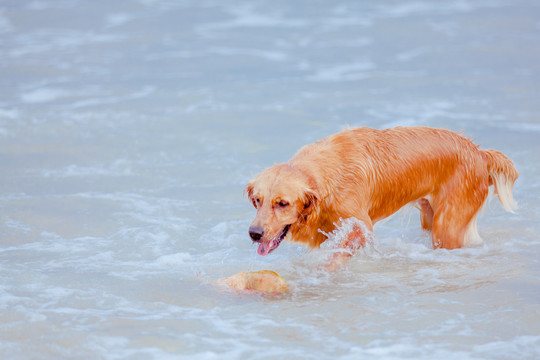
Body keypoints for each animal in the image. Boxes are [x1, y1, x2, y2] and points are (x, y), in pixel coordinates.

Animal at [246, 126, 520, 270]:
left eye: (282, 203)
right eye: (257, 200)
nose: (254, 233)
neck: (324, 181)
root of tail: (480, 153)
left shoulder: (360, 225)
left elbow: (338, 254)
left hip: (448, 226)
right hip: (429, 216)